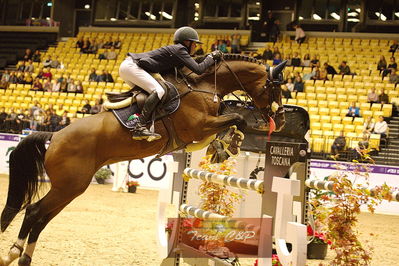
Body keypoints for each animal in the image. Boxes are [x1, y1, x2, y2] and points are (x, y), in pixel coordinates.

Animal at [0, 55, 288, 264]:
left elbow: (232, 121)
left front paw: (223, 147)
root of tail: (56, 135)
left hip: (71, 188)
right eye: (274, 88)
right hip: (68, 186)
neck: (205, 86)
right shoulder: (200, 126)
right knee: (34, 211)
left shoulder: (205, 128)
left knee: (42, 218)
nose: (282, 120)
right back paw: (13, 253)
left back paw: (24, 258)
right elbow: (237, 118)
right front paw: (230, 143)